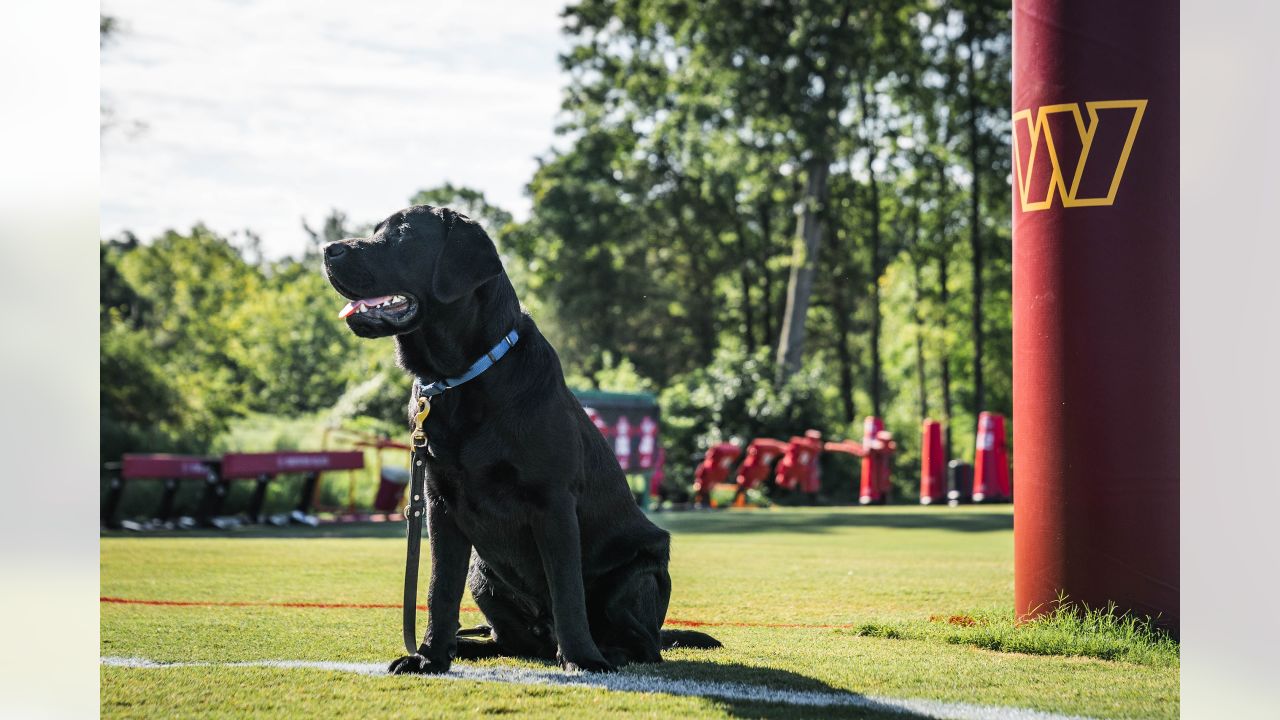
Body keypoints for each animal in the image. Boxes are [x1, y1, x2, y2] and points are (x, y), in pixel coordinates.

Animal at [322, 203, 721, 671]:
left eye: (402, 233)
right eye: (376, 230)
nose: (328, 250)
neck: (462, 378)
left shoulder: (553, 501)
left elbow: (567, 590)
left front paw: (583, 659)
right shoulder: (439, 503)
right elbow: (439, 589)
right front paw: (430, 657)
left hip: (637, 572)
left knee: (644, 645)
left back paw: (605, 652)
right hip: (483, 574)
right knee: (507, 639)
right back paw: (468, 646)